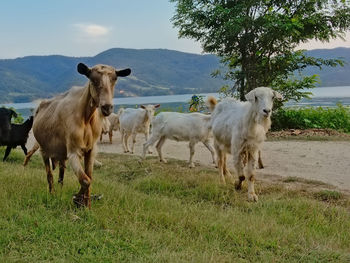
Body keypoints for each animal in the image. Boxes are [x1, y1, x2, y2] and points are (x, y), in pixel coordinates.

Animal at [32, 64, 131, 208]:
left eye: (115, 79)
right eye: (93, 79)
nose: (107, 107)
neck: (86, 117)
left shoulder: (91, 150)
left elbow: (89, 177)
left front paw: (86, 205)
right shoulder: (73, 151)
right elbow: (85, 180)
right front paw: (78, 199)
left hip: (61, 154)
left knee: (61, 174)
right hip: (43, 149)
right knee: (49, 174)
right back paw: (52, 194)